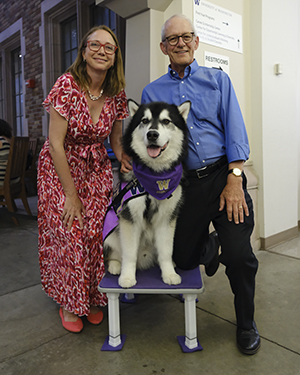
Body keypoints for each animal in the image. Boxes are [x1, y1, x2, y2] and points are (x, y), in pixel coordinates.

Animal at [102, 99, 190, 288]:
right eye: (144, 120)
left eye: (166, 121)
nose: (152, 135)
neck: (155, 175)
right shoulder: (129, 217)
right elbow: (129, 253)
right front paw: (127, 277)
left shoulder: (167, 218)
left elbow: (166, 251)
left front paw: (169, 274)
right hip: (110, 233)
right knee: (115, 251)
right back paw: (115, 265)